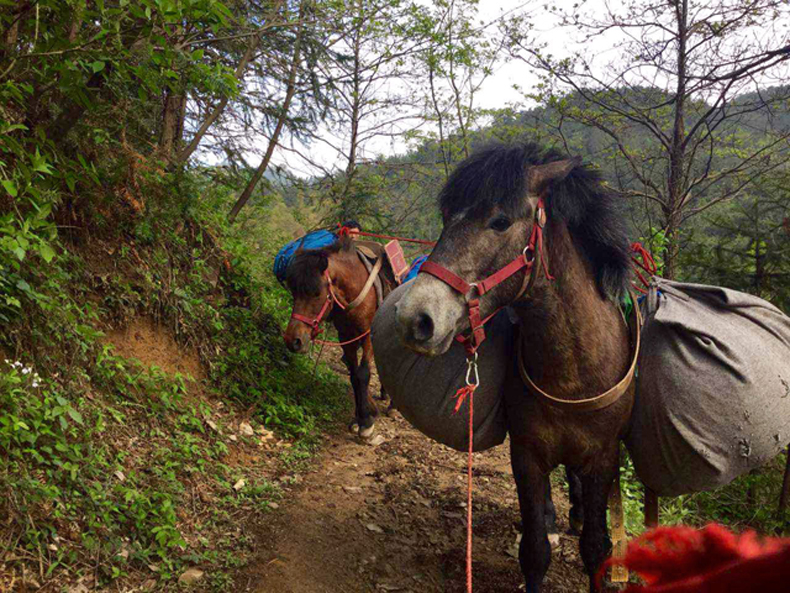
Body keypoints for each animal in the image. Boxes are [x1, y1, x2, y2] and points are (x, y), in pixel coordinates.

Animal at [284, 235, 396, 434]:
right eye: (294, 292)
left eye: (317, 293)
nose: (293, 341)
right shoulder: (346, 337)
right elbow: (354, 376)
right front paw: (360, 416)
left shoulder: (368, 336)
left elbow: (363, 374)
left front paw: (366, 423)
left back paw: (391, 406)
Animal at [396, 145, 636, 592]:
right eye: (446, 216)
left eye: (500, 221)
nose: (415, 318)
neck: (573, 374)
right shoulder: (526, 453)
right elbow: (535, 550)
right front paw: (545, 530)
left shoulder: (605, 457)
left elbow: (597, 548)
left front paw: (585, 527)